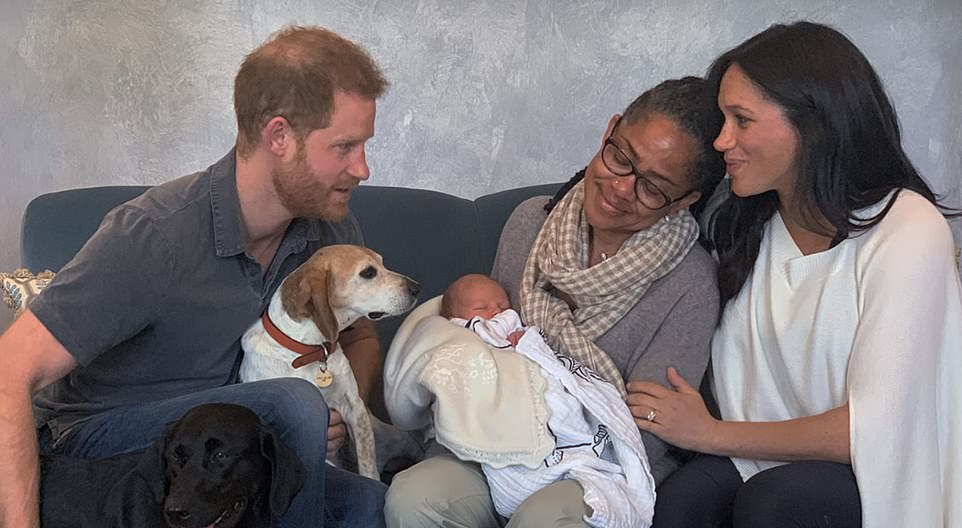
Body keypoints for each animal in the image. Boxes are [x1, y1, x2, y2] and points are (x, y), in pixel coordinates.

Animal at [238, 245, 418, 480]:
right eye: (368, 272)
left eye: (382, 262)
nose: (417, 288)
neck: (311, 352)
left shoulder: (355, 407)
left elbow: (367, 466)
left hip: (390, 434)